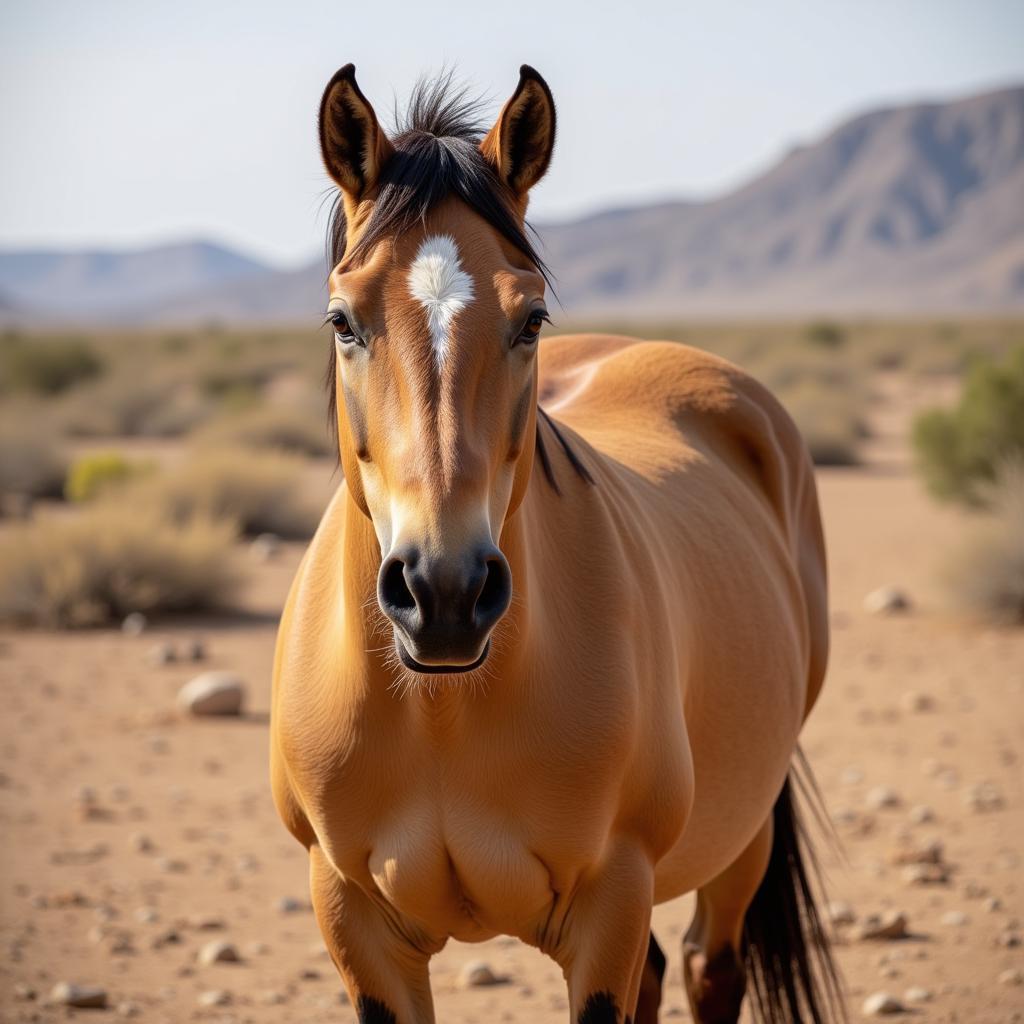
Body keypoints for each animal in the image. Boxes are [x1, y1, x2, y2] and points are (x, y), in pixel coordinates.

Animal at [272, 64, 839, 1024]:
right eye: (342, 320)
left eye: (531, 316)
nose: (445, 594)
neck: (445, 713)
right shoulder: (350, 914)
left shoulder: (612, 898)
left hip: (743, 833)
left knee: (707, 965)